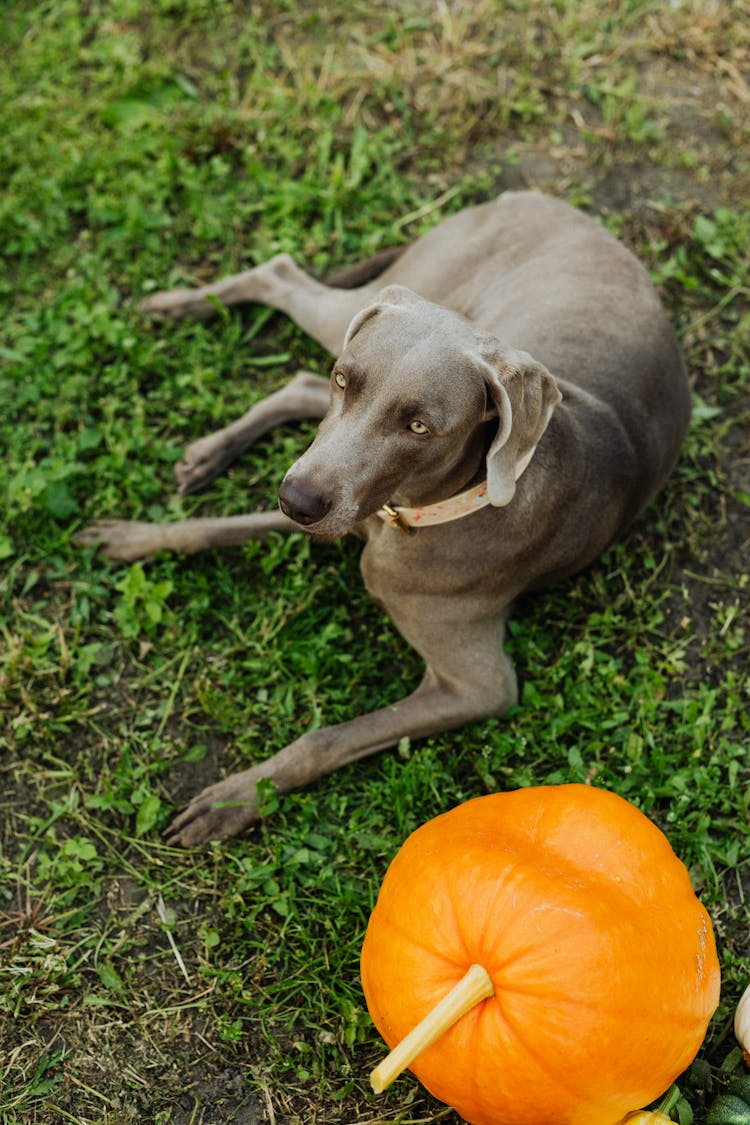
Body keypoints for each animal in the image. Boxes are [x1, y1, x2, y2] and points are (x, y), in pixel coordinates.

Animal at [77, 191, 692, 846]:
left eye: (419, 425)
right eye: (346, 380)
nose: (296, 500)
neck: (416, 513)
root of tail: (541, 199)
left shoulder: (477, 687)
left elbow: (324, 739)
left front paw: (234, 799)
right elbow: (216, 525)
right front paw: (128, 537)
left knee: (294, 348)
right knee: (283, 285)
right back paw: (179, 313)